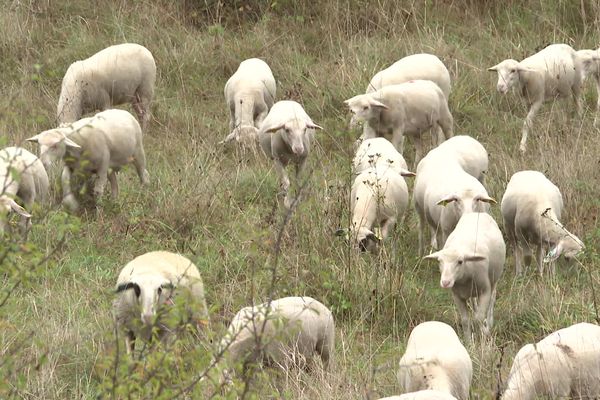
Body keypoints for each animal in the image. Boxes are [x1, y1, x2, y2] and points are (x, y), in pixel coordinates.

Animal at [422, 212, 506, 340]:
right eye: (439, 261)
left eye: (460, 261)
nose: (445, 282)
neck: (463, 278)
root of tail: (477, 213)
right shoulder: (457, 295)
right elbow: (465, 320)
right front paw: (468, 341)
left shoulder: (485, 290)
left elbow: (478, 318)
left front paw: (485, 332)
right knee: (474, 302)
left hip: (494, 279)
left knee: (492, 298)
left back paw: (489, 322)